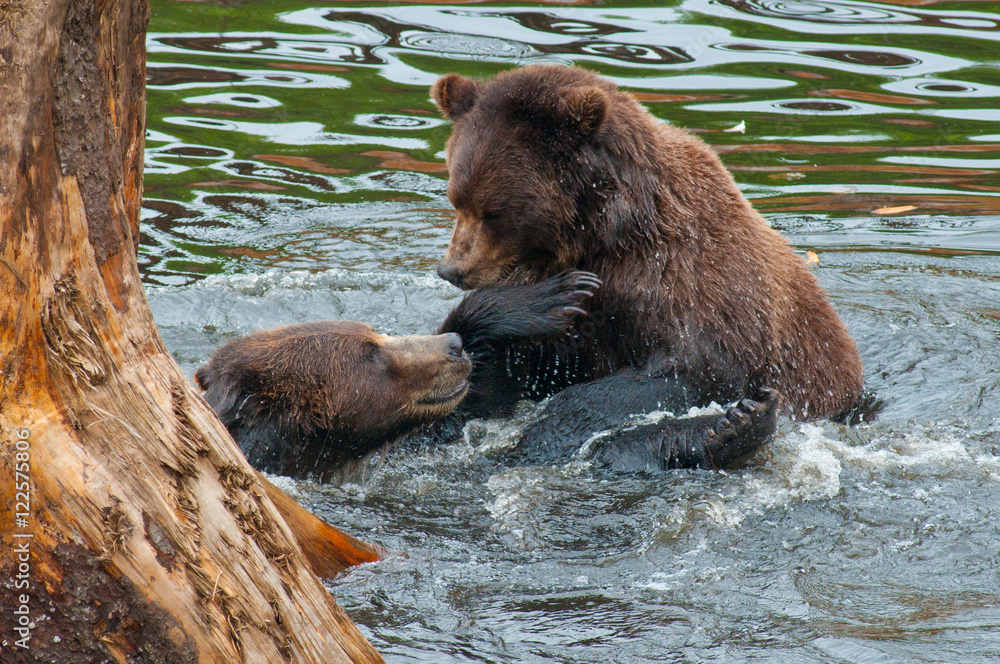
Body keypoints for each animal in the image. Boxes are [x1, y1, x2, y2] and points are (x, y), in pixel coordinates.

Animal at [195, 272, 779, 480]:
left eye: (373, 334)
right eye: (370, 354)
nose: (451, 349)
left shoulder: (441, 430)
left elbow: (489, 394)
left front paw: (554, 296)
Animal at [430, 64, 864, 425]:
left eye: (493, 211)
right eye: (455, 197)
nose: (452, 269)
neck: (604, 236)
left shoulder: (690, 285)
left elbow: (687, 370)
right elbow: (500, 374)